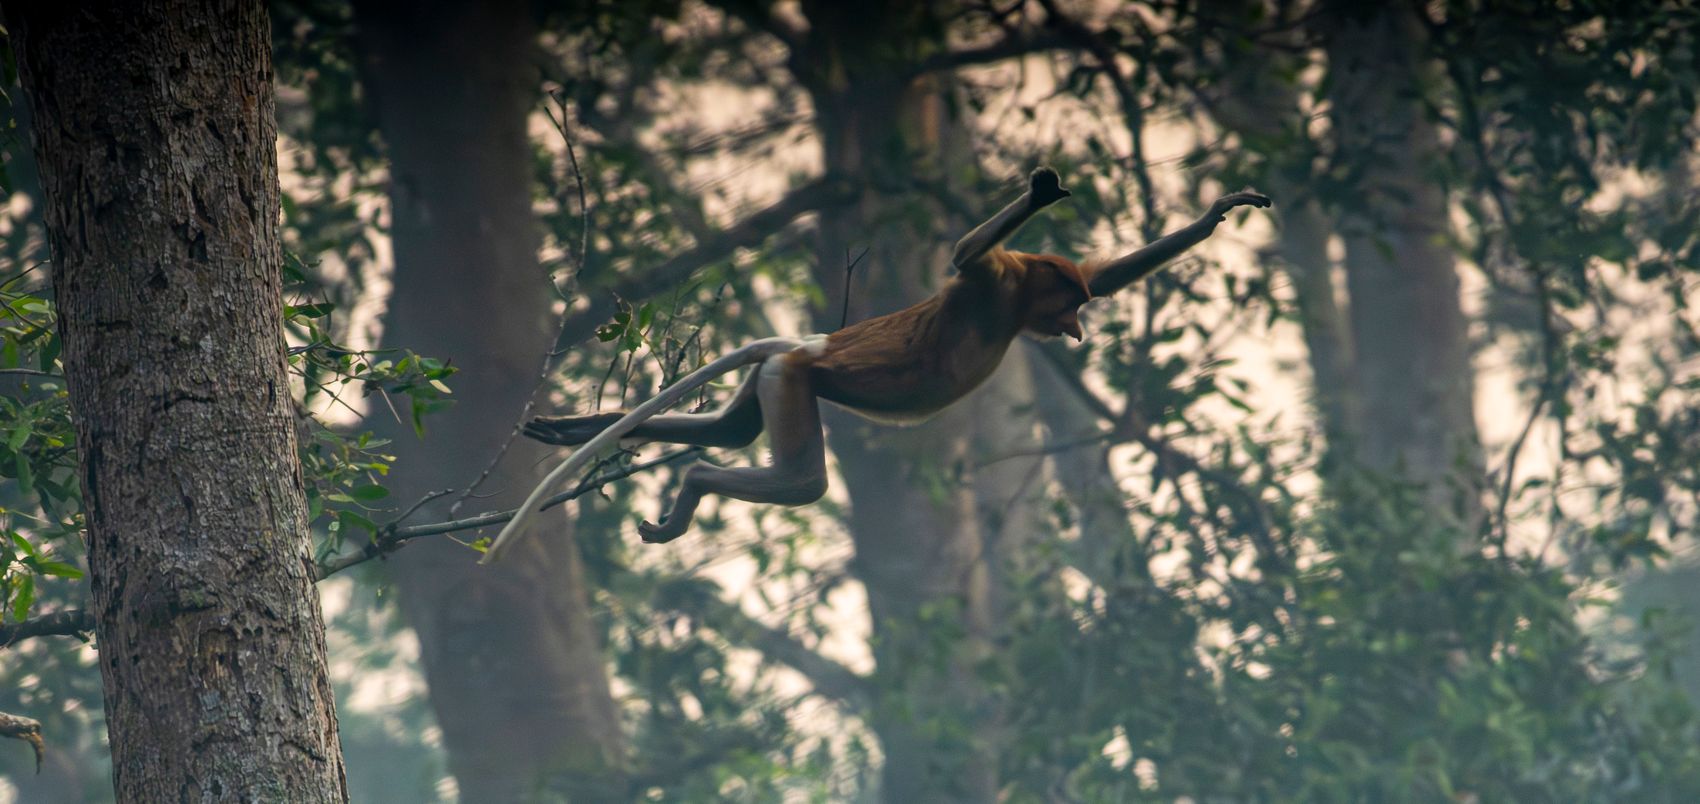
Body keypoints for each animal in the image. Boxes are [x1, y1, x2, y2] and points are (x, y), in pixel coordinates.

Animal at [481, 168, 1268, 563]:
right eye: (1066, 309)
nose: (1074, 332)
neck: (1015, 306)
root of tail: (800, 345)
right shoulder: (999, 279)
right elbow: (966, 255)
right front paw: (1040, 194)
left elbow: (1109, 274)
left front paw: (1217, 214)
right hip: (794, 381)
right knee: (800, 479)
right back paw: (693, 484)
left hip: (772, 377)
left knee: (736, 431)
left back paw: (587, 434)